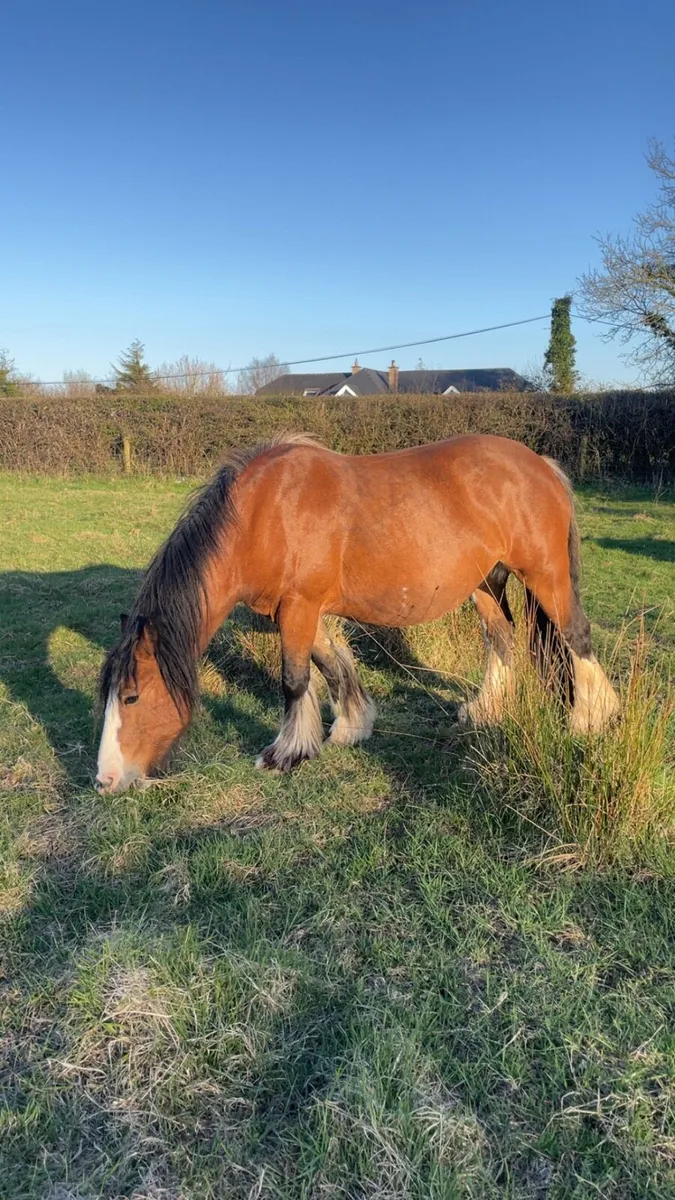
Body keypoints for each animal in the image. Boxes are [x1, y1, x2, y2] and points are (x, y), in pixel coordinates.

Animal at [96, 433, 619, 793]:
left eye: (132, 697)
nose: (105, 780)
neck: (263, 515)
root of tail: (541, 465)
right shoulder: (297, 610)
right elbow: (330, 665)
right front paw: (352, 724)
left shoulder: (300, 607)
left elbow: (295, 679)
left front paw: (287, 754)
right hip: (486, 583)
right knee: (502, 637)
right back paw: (485, 709)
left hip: (545, 576)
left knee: (576, 635)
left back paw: (590, 718)